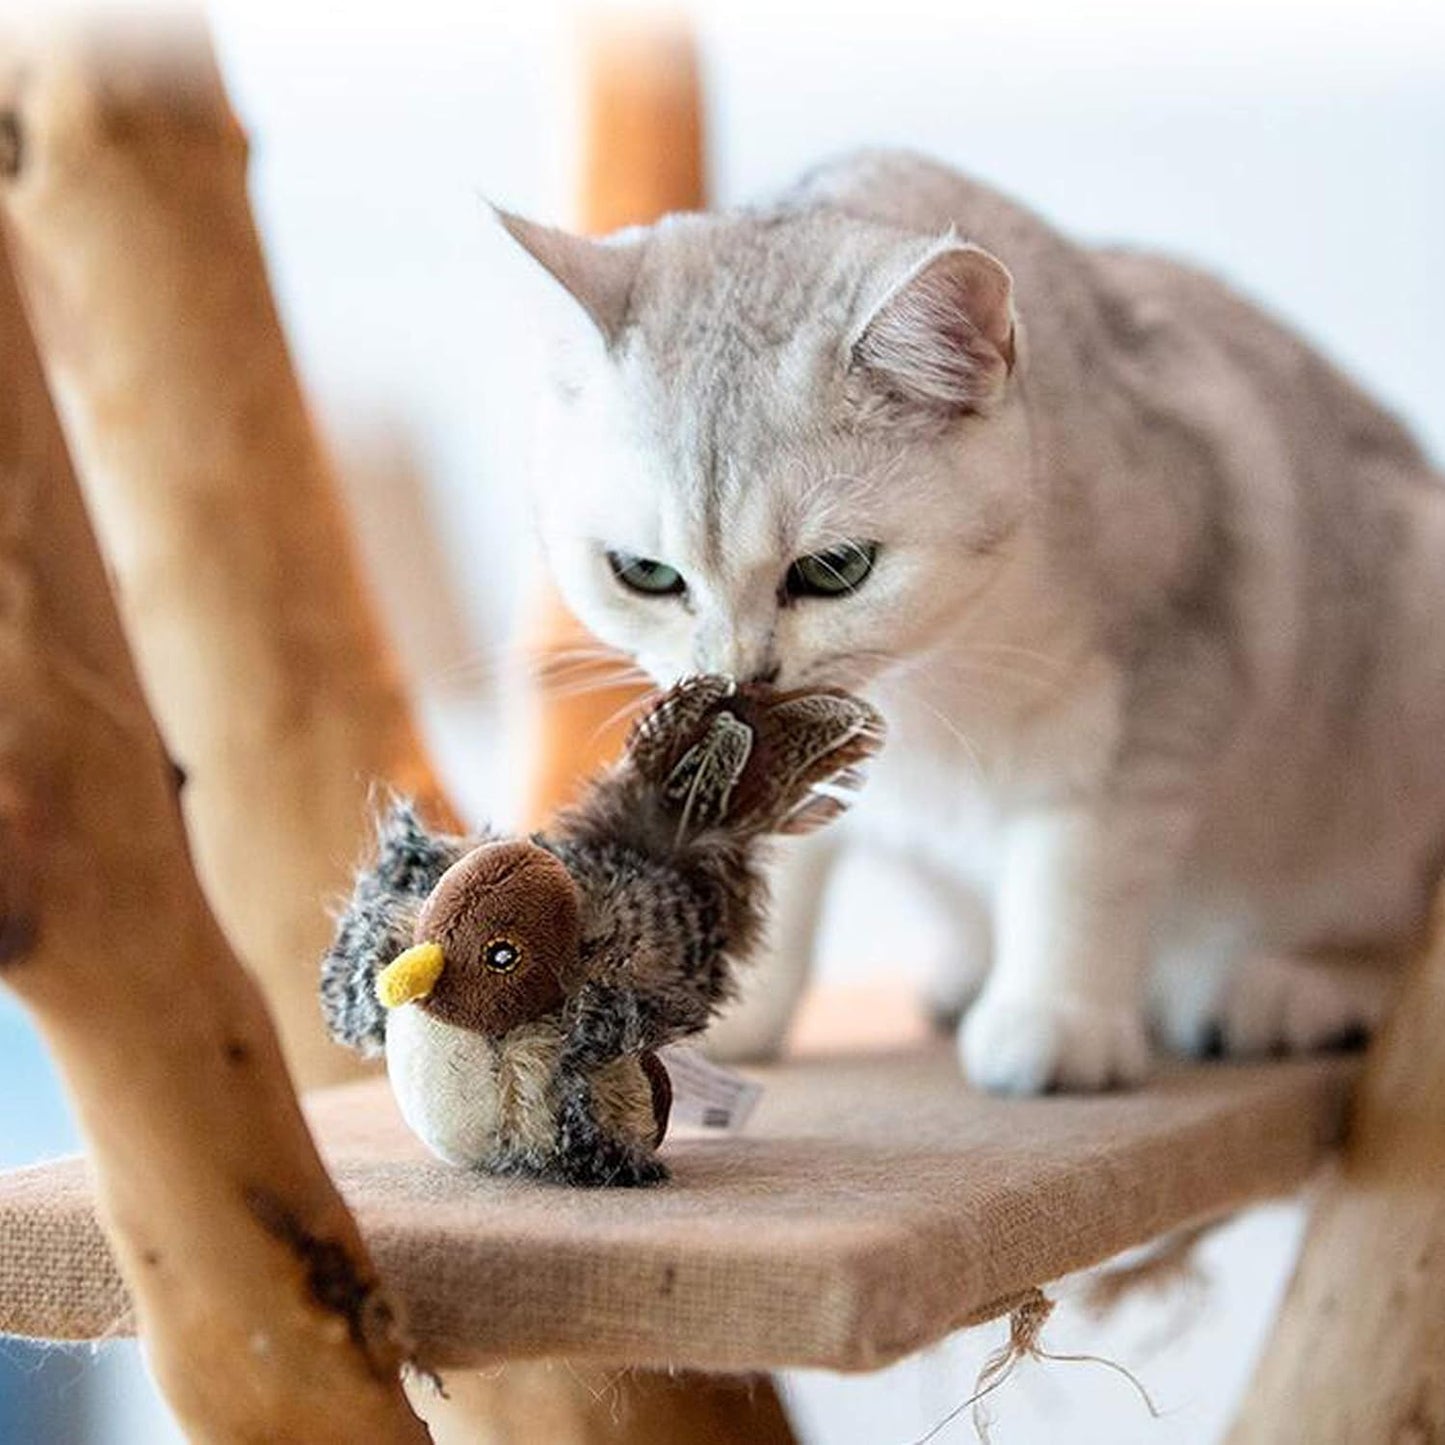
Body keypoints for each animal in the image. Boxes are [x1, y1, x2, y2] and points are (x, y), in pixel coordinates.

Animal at [497, 149, 1445, 1092]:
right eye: (645, 574)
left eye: (834, 570)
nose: (738, 676)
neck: (920, 683)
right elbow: (777, 873)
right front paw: (722, 1004)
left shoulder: (1158, 685)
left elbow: (1079, 865)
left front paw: (1056, 1018)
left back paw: (1284, 986)